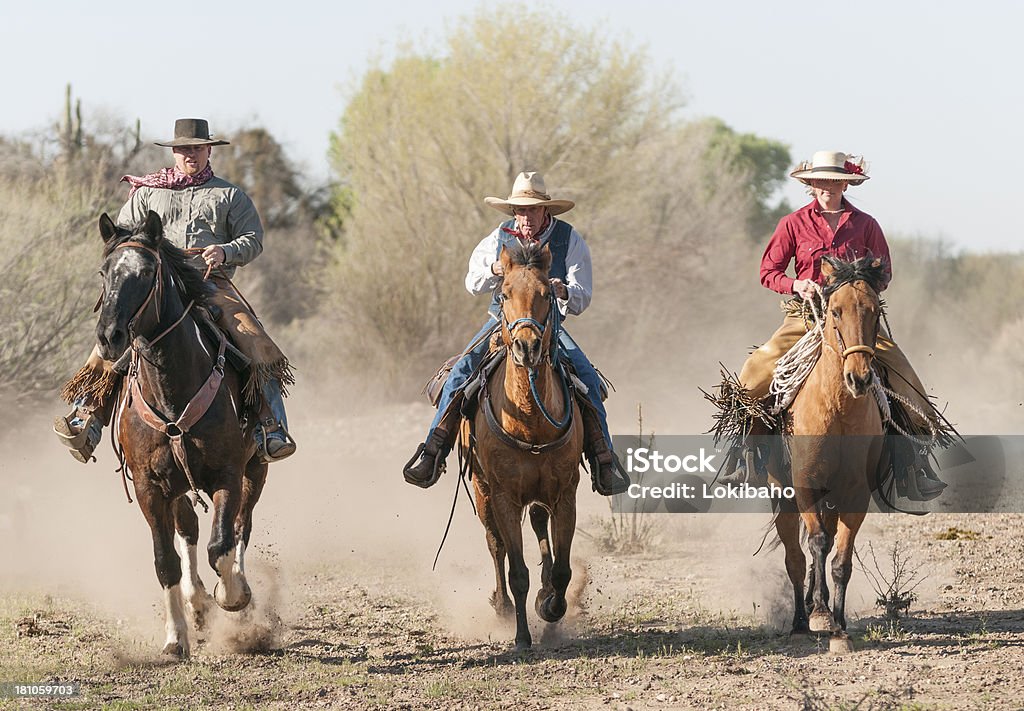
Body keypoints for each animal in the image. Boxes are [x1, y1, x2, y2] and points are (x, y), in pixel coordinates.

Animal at [95, 213, 268, 663]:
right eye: (104, 272)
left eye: (146, 272)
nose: (109, 337)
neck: (173, 390)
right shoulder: (149, 487)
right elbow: (165, 559)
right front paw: (176, 638)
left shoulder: (227, 476)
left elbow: (221, 544)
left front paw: (233, 596)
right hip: (177, 486)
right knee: (188, 530)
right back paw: (197, 602)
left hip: (256, 470)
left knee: (241, 526)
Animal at [464, 240, 585, 651]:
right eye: (503, 294)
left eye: (548, 294)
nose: (527, 346)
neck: (530, 419)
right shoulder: (503, 495)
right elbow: (517, 571)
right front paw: (521, 636)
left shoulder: (565, 494)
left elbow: (563, 569)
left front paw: (550, 609)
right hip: (483, 491)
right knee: (495, 543)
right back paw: (501, 606)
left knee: (537, 525)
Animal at [770, 255, 888, 651]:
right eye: (835, 311)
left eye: (875, 311)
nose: (859, 378)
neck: (835, 408)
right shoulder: (804, 485)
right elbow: (817, 544)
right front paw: (819, 616)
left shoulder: (854, 494)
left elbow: (840, 560)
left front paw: (839, 629)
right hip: (782, 496)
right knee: (795, 555)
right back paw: (800, 619)